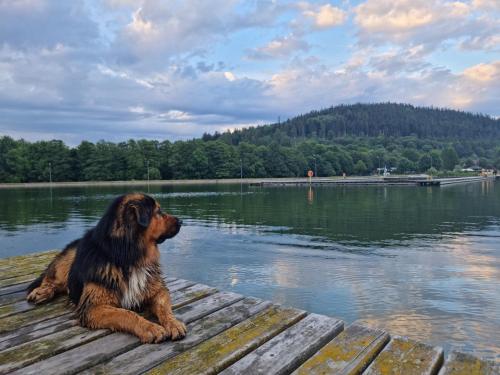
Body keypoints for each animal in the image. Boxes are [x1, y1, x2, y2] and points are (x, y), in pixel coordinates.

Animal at [25, 194, 186, 344]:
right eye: (158, 211)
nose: (181, 221)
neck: (127, 256)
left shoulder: (158, 290)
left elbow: (163, 308)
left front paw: (174, 324)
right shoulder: (93, 307)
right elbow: (126, 313)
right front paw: (150, 328)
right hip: (67, 260)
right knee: (50, 278)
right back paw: (41, 292)